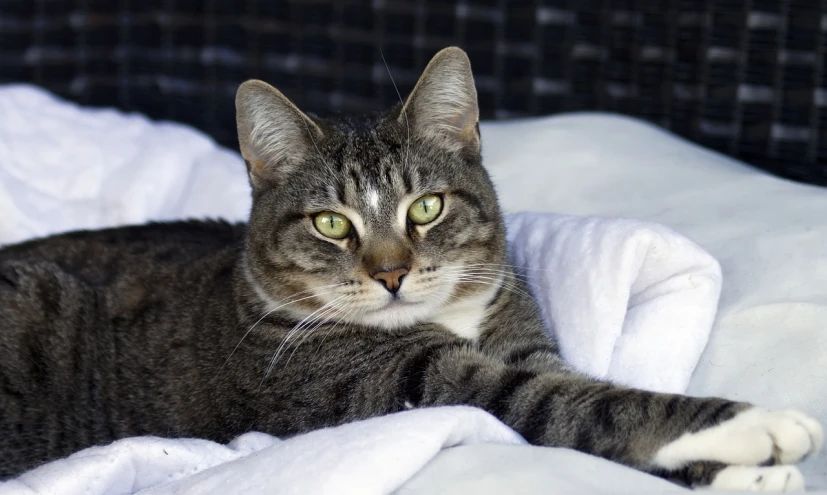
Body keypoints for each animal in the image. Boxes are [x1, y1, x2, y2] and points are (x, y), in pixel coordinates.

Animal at [0, 47, 820, 492]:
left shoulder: (523, 342)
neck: (448, 318)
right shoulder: (407, 384)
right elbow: (588, 404)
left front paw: (746, 470)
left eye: (425, 207)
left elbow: (584, 396)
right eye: (331, 223)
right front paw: (759, 428)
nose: (392, 273)